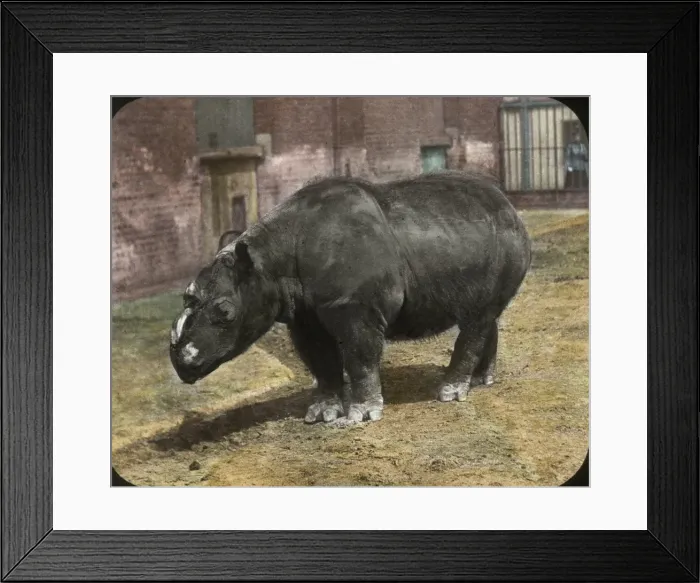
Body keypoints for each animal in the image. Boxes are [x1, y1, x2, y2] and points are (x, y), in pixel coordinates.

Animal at [169, 171, 531, 424]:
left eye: (225, 312)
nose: (180, 364)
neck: (269, 259)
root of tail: (510, 207)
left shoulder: (356, 305)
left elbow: (359, 356)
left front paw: (362, 415)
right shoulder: (303, 314)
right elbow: (321, 361)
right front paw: (321, 413)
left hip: (506, 240)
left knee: (477, 317)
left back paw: (449, 393)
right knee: (486, 314)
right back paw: (482, 381)